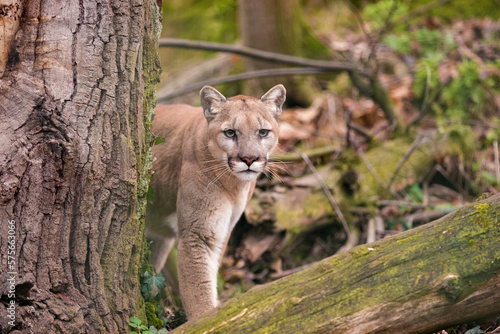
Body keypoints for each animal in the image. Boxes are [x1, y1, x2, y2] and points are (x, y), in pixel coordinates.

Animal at [146, 83, 286, 318]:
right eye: (230, 133)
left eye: (263, 132)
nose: (249, 159)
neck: (235, 186)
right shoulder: (197, 232)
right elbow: (198, 288)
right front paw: (205, 320)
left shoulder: (222, 231)